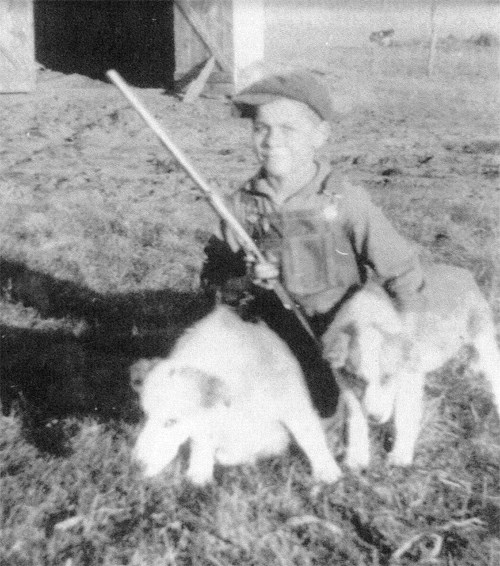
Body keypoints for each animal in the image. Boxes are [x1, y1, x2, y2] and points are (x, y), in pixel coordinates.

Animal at [132, 306, 340, 488]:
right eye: (145, 415)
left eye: (171, 421)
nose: (136, 466)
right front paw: (200, 473)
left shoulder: (294, 406)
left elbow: (308, 436)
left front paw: (328, 472)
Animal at [322, 264, 498, 472]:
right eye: (358, 379)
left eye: (388, 377)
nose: (375, 418)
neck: (369, 319)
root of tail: (462, 271)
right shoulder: (346, 383)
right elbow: (355, 417)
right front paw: (356, 457)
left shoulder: (409, 377)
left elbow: (404, 418)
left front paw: (400, 455)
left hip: (482, 334)